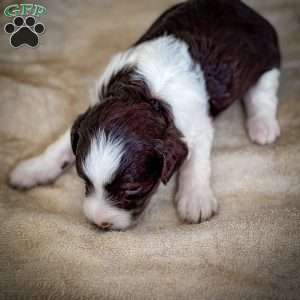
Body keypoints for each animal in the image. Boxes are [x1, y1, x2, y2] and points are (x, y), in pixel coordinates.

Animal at [9, 0, 282, 231]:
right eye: (83, 180)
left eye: (132, 190)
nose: (99, 223)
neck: (146, 97)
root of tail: (244, 8)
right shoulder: (93, 108)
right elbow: (60, 144)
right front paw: (32, 169)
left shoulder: (197, 125)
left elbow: (196, 163)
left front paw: (195, 199)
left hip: (267, 55)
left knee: (262, 92)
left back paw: (263, 126)